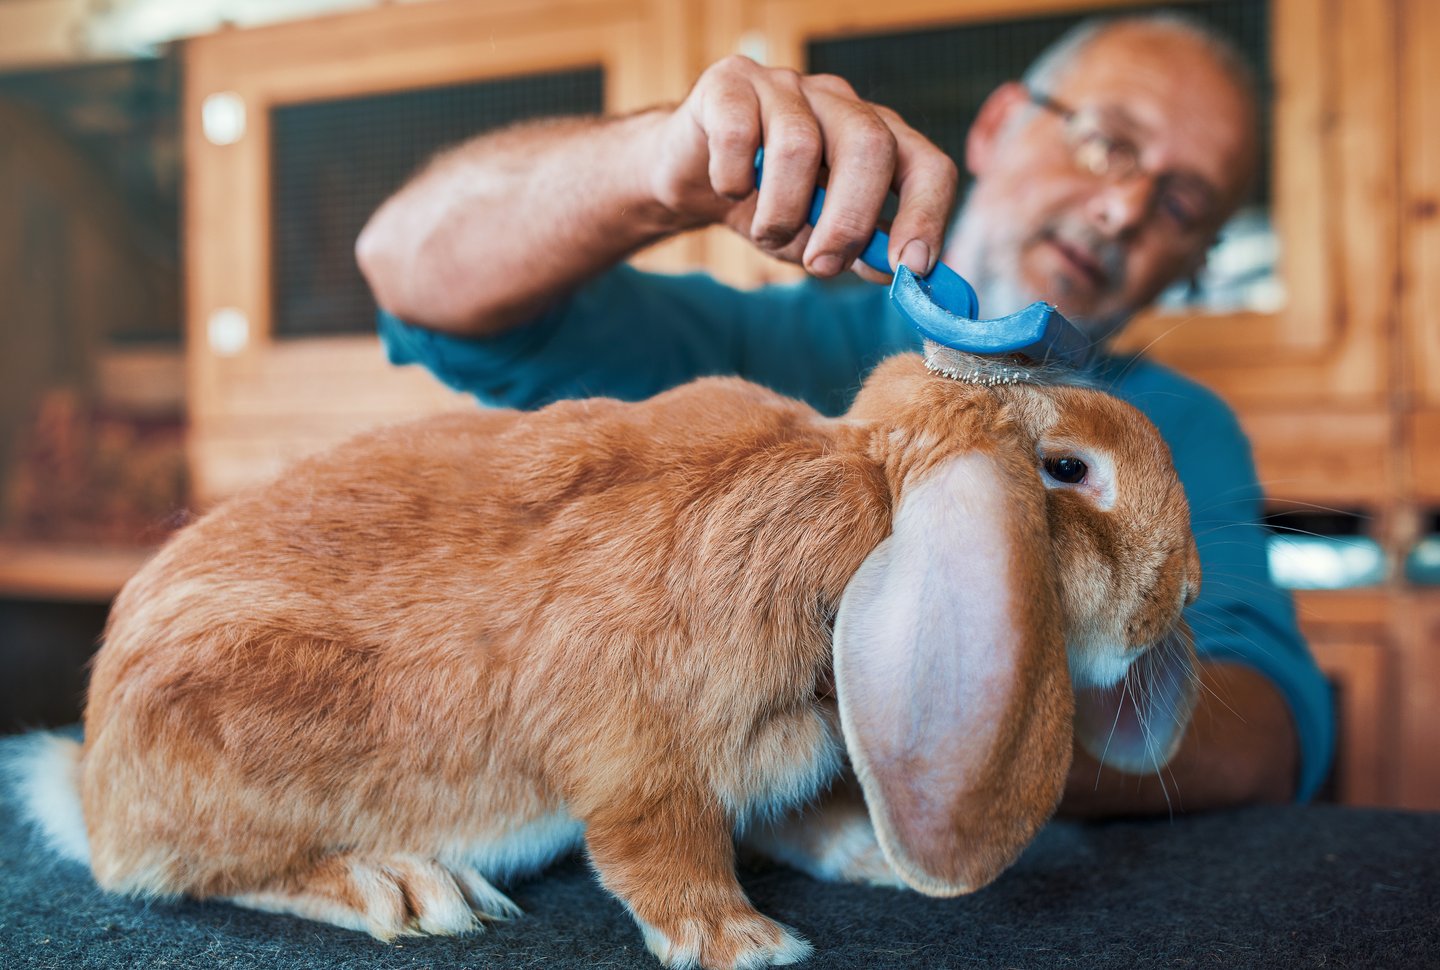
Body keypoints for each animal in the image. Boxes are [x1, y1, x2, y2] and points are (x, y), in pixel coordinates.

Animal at [16, 349, 1198, 967]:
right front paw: (745, 942)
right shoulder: (645, 753)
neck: (865, 514)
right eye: (1067, 469)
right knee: (210, 872)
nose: (1185, 588)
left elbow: (790, 816)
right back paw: (398, 885)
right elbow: (658, 848)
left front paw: (862, 854)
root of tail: (97, 785)